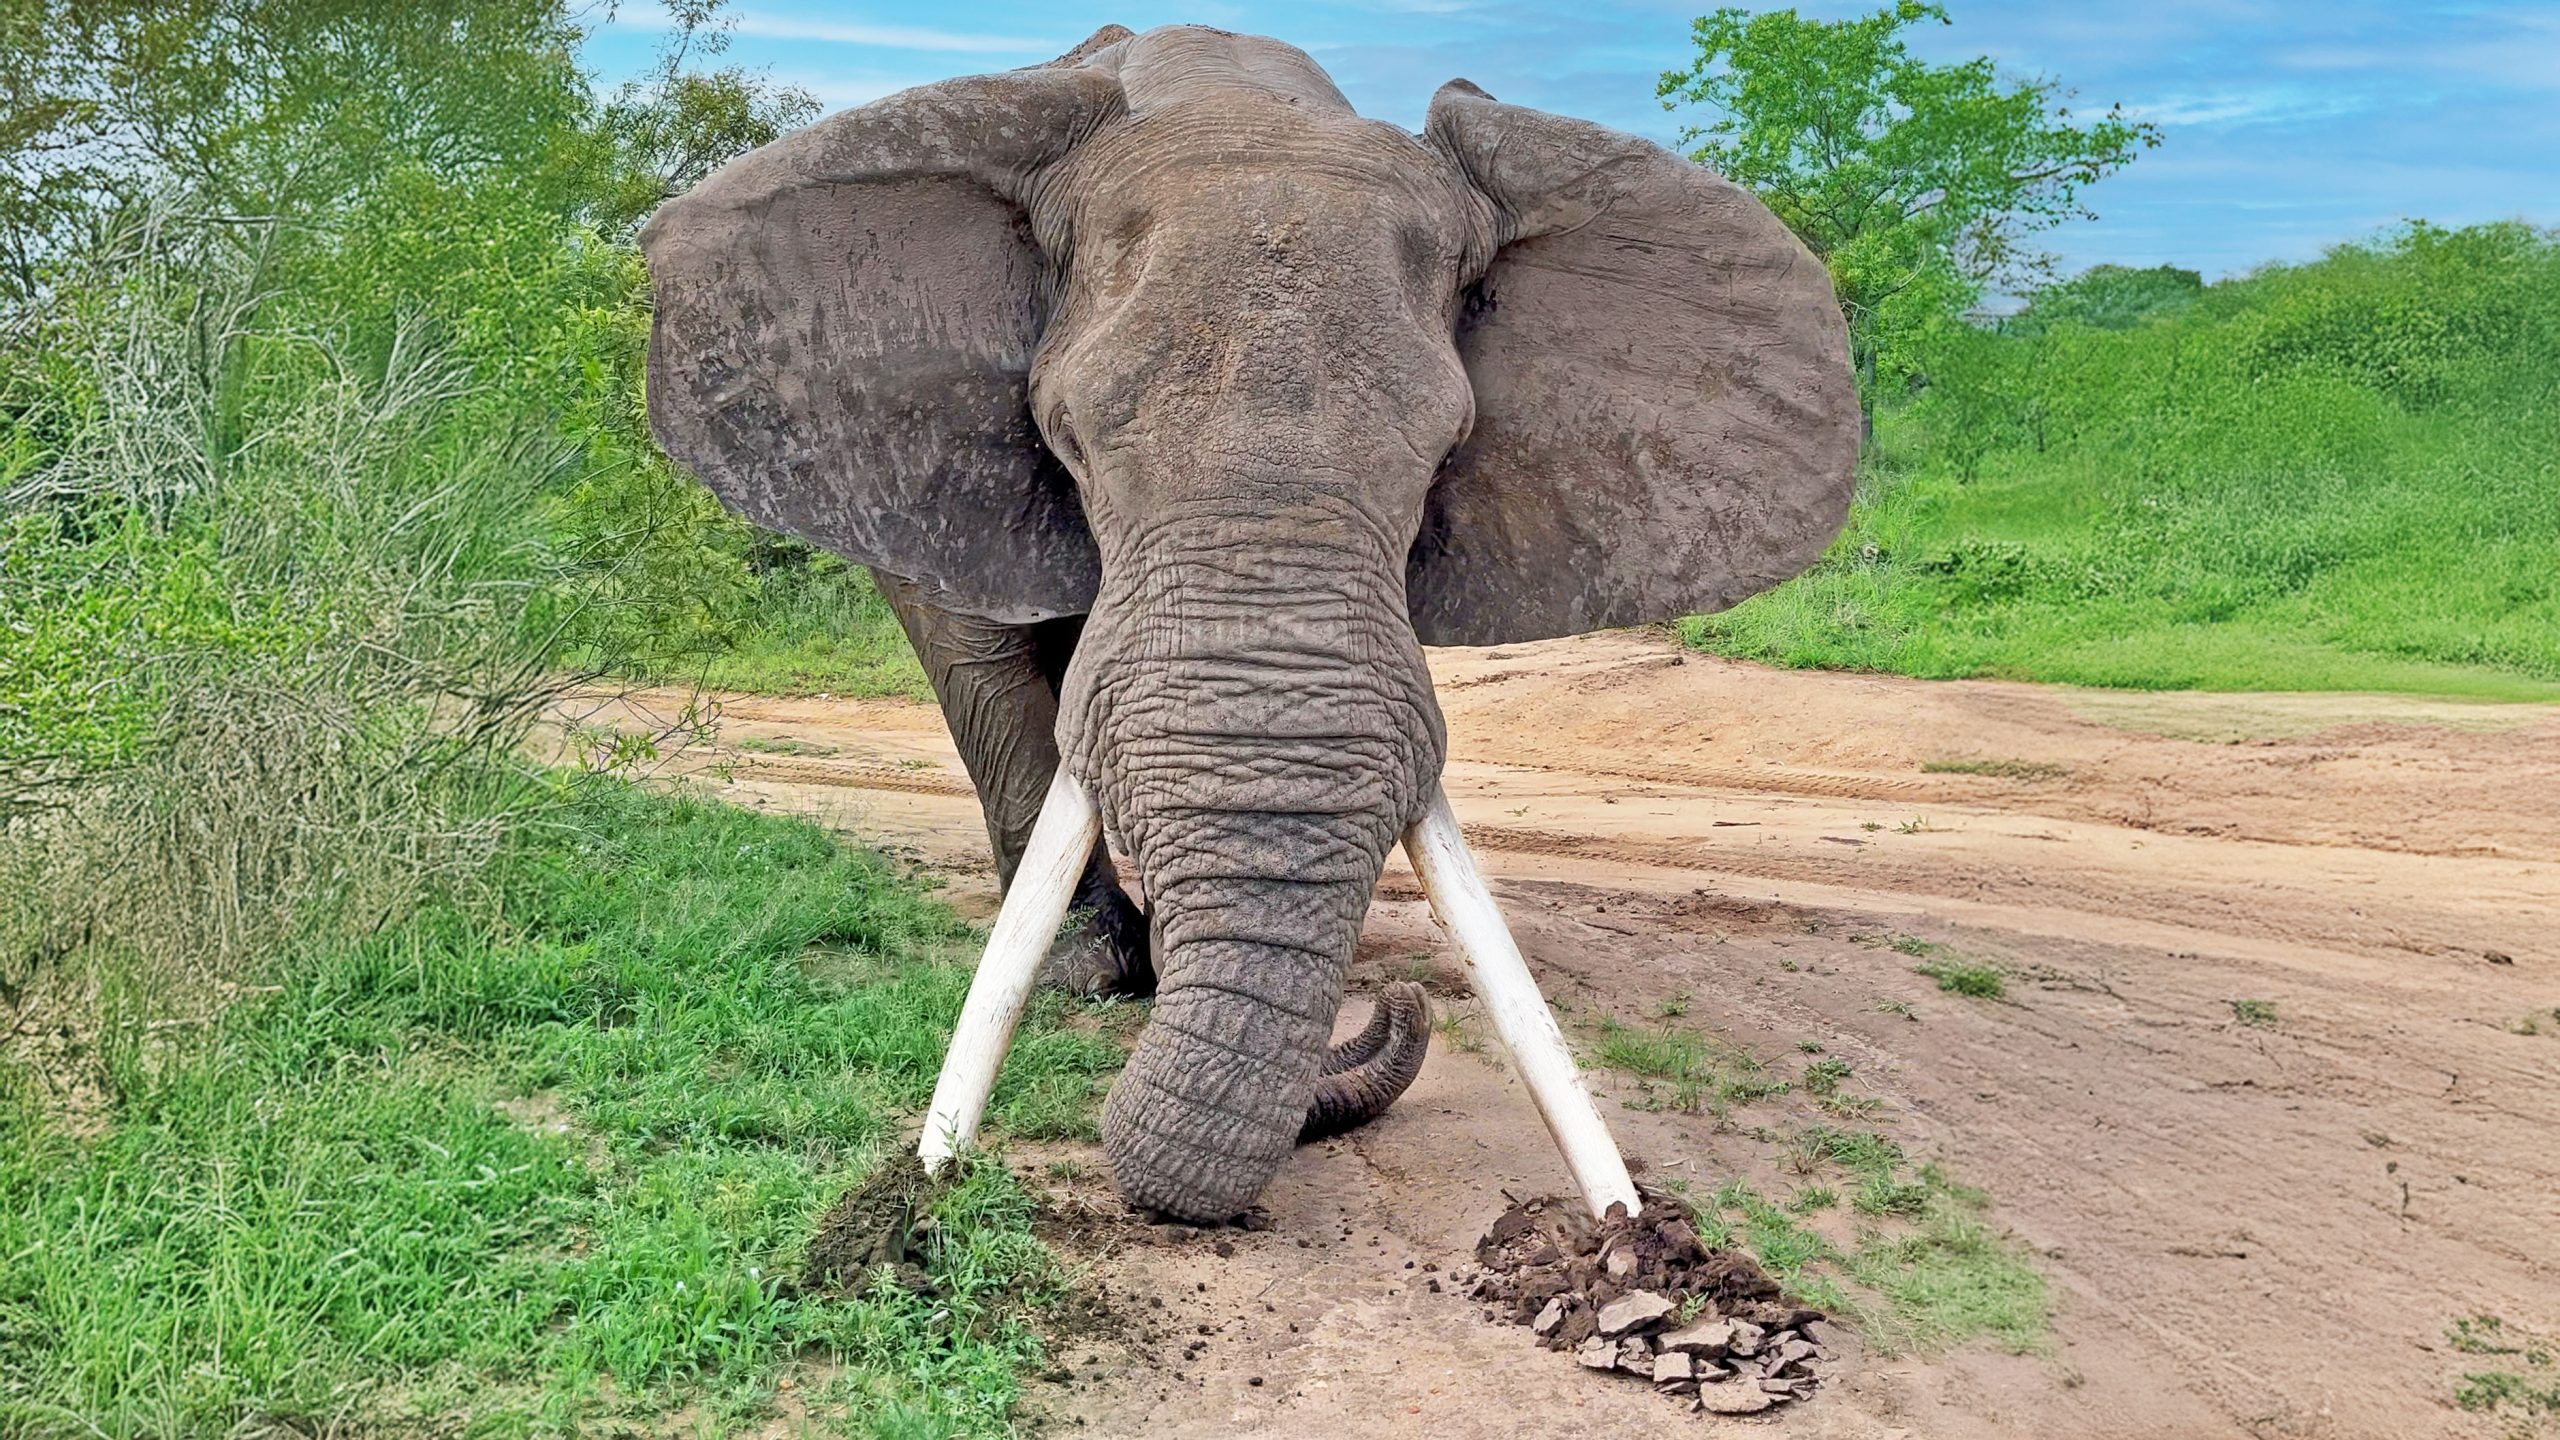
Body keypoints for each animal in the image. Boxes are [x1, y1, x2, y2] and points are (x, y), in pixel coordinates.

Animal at [632, 22, 1853, 1214]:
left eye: (1443, 456)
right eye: (1068, 440)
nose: (1396, 1003)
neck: (1236, 93)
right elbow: (984, 656)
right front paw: (1095, 977)